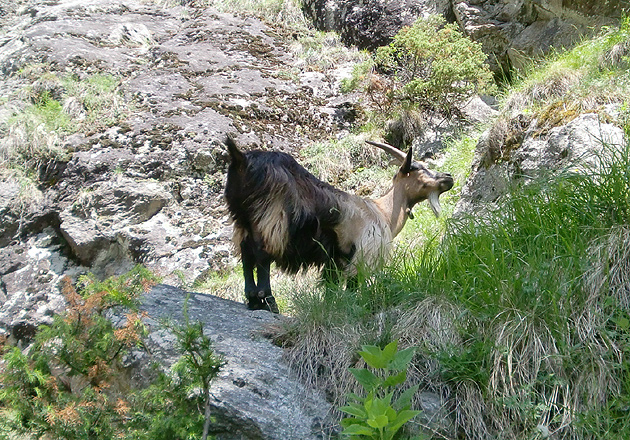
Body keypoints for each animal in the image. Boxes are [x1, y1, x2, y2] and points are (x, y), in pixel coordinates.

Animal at [225, 138, 452, 312]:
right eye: (421, 169)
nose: (448, 177)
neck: (382, 212)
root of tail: (242, 160)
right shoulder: (362, 254)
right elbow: (352, 287)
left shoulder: (334, 261)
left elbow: (330, 289)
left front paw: (331, 308)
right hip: (272, 216)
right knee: (262, 253)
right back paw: (268, 302)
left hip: (243, 218)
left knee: (246, 252)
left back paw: (253, 299)